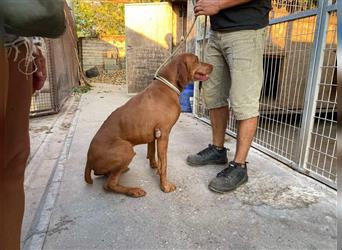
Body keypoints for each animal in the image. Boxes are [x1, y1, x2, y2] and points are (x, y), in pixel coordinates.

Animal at [84, 52, 212, 197]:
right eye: (196, 60)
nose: (212, 66)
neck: (167, 86)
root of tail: (88, 161)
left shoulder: (154, 134)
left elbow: (152, 152)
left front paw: (154, 166)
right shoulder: (163, 134)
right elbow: (164, 163)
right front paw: (165, 186)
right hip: (126, 149)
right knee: (109, 185)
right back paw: (133, 190)